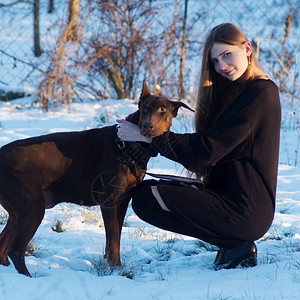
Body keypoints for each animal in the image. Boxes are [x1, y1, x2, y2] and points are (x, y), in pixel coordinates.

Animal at [0, 79, 192, 276]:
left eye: (163, 109)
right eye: (144, 108)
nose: (148, 126)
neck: (128, 147)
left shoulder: (123, 200)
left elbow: (114, 238)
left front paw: (111, 264)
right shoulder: (109, 200)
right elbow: (113, 238)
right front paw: (116, 267)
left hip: (18, 211)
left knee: (3, 244)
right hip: (32, 206)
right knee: (15, 250)